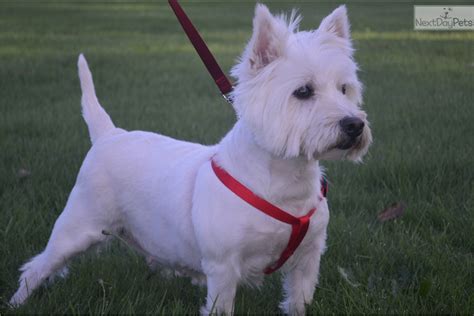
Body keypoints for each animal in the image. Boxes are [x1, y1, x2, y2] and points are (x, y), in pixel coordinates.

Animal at [10, 3, 370, 314]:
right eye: (303, 91)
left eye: (344, 89)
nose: (355, 125)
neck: (284, 181)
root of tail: (109, 134)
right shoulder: (223, 267)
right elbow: (221, 307)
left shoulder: (308, 260)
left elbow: (298, 302)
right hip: (79, 224)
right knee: (37, 265)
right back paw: (16, 302)